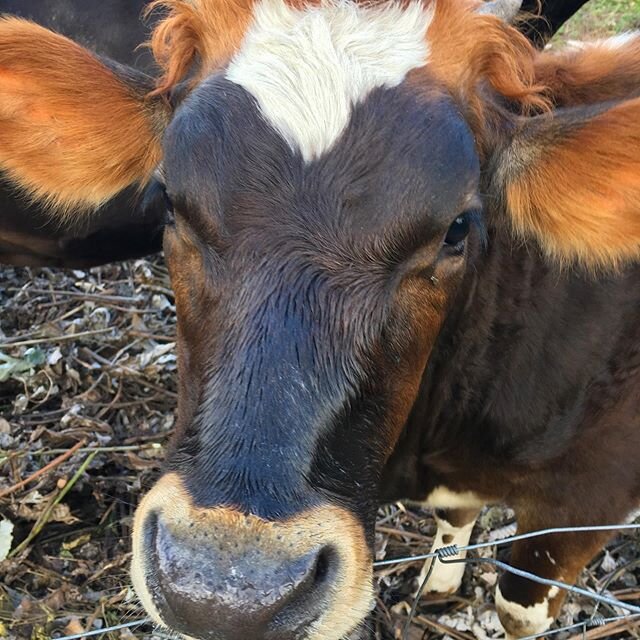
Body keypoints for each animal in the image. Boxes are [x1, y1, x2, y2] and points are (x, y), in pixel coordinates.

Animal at [1, 0, 640, 636]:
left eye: (457, 230)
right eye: (167, 201)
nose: (226, 592)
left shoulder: (588, 499)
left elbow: (517, 610)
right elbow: (456, 519)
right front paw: (437, 586)